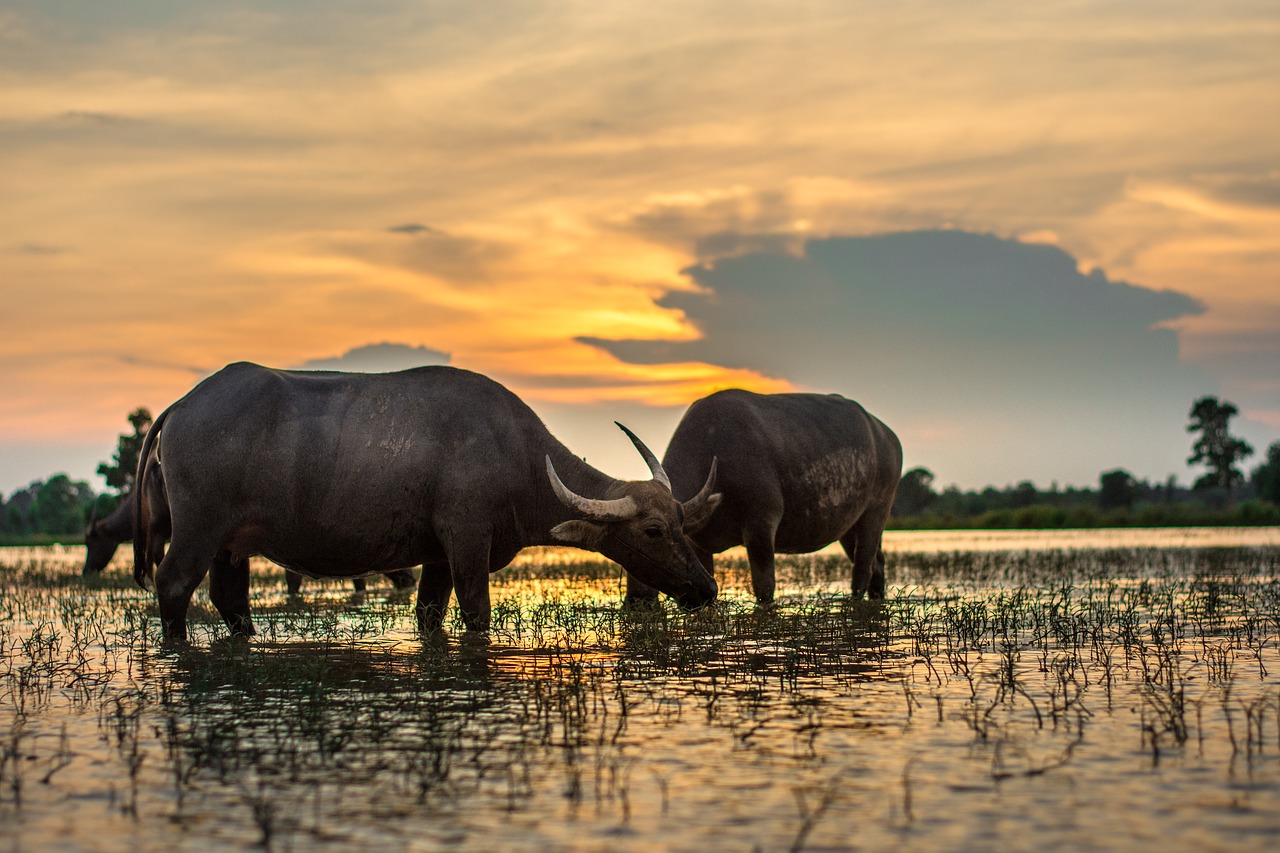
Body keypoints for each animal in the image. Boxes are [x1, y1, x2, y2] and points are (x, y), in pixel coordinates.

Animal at [136, 358, 727, 637]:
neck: (515, 455)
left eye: (684, 522)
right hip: (197, 530)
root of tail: (180, 407)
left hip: (230, 545)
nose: (706, 589)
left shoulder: (438, 556)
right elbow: (477, 614)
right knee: (173, 585)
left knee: (230, 601)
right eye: (653, 530)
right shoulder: (466, 541)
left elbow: (428, 616)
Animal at [627, 389, 901, 601]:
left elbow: (764, 588)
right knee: (877, 564)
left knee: (862, 568)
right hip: (848, 525)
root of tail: (887, 435)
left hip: (875, 513)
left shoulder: (761, 527)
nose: (635, 600)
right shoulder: (698, 544)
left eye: (653, 534)